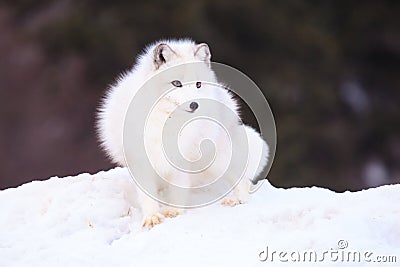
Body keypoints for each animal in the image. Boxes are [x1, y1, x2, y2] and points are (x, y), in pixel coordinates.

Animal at [97, 39, 268, 228]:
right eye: (176, 83)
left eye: (198, 84)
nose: (195, 105)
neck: (167, 122)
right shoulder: (140, 161)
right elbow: (147, 195)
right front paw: (151, 216)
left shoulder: (182, 160)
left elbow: (178, 189)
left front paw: (175, 211)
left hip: (217, 160)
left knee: (242, 180)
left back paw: (237, 199)